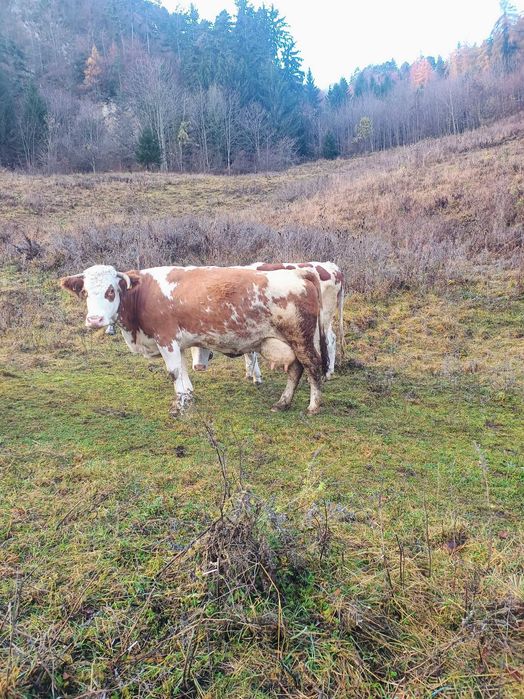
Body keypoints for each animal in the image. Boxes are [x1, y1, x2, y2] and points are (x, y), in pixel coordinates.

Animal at [60, 264, 329, 416]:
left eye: (110, 291)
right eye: (84, 292)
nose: (94, 320)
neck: (143, 294)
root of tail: (300, 271)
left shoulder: (166, 338)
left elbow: (173, 372)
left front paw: (179, 406)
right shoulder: (176, 342)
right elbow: (182, 371)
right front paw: (187, 397)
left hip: (301, 339)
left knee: (312, 367)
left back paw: (313, 407)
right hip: (291, 342)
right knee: (295, 369)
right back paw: (283, 403)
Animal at [190, 261, 345, 383]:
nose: (198, 367)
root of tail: (332, 267)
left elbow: (250, 352)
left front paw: (256, 377)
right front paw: (250, 373)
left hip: (321, 319)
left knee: (327, 341)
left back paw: (325, 373)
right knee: (331, 338)